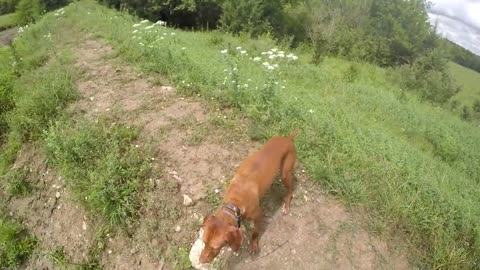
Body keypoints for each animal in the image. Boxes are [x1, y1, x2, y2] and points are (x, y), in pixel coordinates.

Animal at [198, 131, 296, 264]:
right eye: (204, 242)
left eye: (215, 248)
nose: (200, 261)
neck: (235, 202)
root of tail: (287, 138)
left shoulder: (258, 214)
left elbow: (255, 232)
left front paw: (253, 245)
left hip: (285, 173)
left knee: (290, 191)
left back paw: (286, 205)